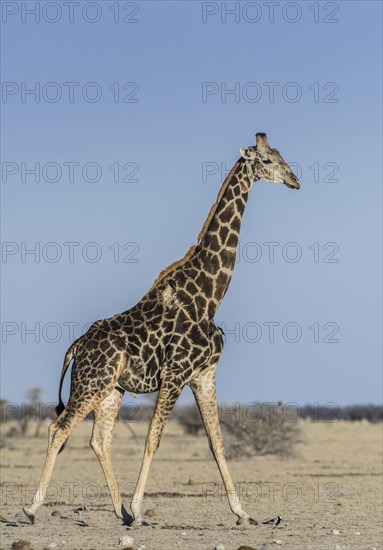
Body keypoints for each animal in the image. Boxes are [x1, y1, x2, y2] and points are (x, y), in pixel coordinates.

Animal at [23, 132, 300, 528]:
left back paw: (119, 511)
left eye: (280, 155)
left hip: (111, 389)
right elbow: (153, 439)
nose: (295, 180)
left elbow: (217, 442)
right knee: (58, 429)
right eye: (265, 160)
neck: (210, 297)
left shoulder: (204, 374)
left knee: (99, 439)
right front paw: (140, 508)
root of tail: (76, 347)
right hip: (91, 384)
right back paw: (33, 508)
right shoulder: (175, 374)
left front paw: (243, 512)